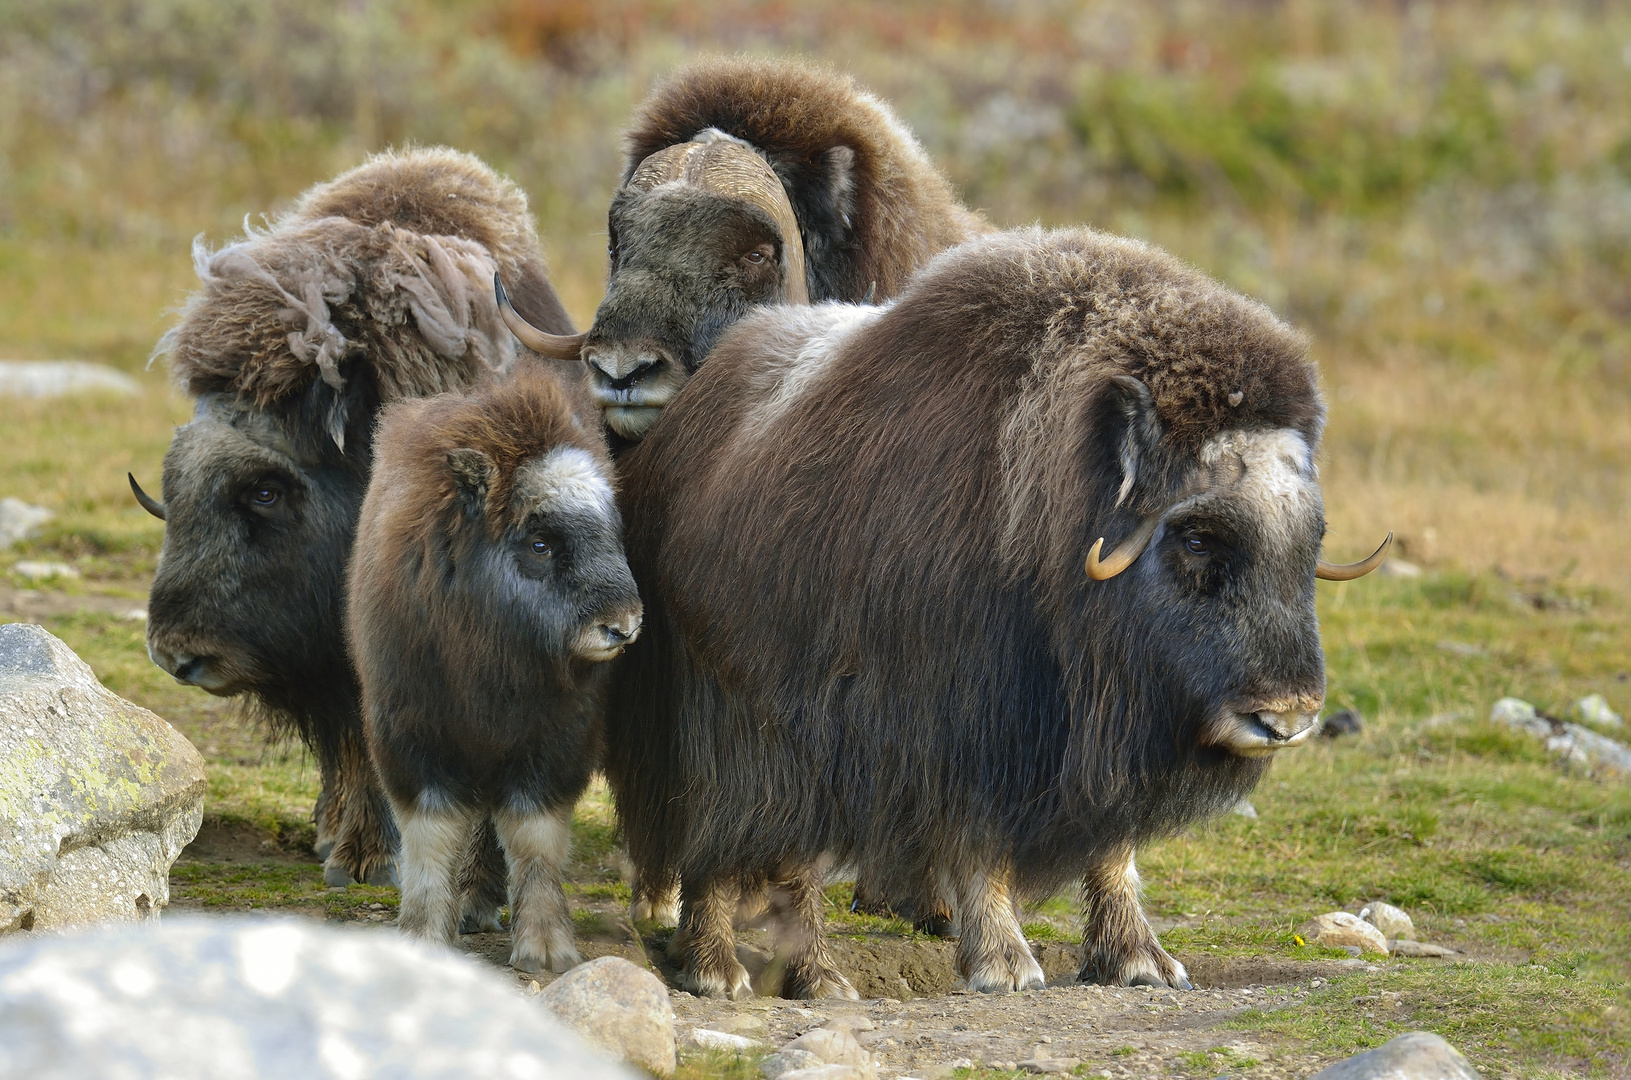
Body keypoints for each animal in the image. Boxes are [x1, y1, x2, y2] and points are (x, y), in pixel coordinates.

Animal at [347, 362, 639, 972]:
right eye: (541, 542)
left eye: (613, 533)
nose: (623, 626)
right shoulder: (414, 736)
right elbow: (431, 836)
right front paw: (423, 936)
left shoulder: (553, 743)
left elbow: (534, 838)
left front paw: (547, 951)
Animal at [603, 226, 1389, 998]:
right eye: (1197, 537)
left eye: (1312, 537)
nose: (1286, 718)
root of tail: (682, 422)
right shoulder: (964, 723)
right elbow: (978, 842)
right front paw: (1005, 964)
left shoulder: (1102, 735)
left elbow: (1114, 848)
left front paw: (1140, 959)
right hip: (725, 728)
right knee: (722, 843)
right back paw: (724, 970)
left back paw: (816, 977)